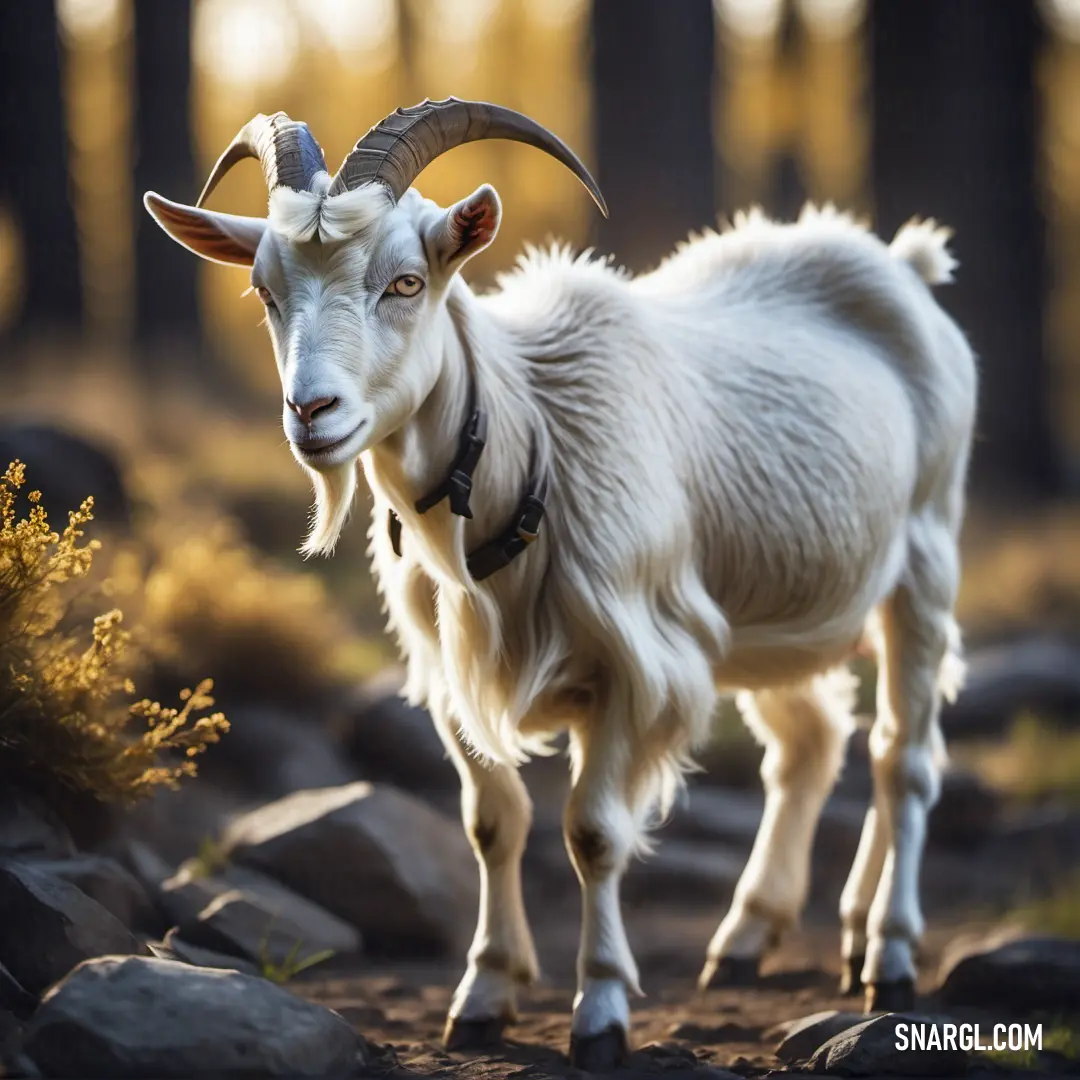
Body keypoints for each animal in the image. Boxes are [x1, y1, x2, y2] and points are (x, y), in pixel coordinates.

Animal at [145, 103, 980, 1071]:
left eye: (405, 282)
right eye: (266, 294)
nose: (313, 413)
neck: (526, 434)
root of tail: (902, 266)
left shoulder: (634, 662)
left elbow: (593, 832)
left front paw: (602, 1012)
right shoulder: (451, 673)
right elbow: (492, 822)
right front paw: (483, 994)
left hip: (926, 555)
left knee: (903, 757)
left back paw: (887, 953)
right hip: (767, 605)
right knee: (812, 743)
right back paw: (762, 935)